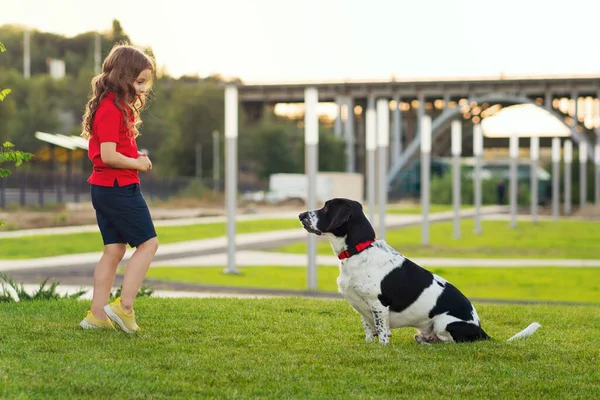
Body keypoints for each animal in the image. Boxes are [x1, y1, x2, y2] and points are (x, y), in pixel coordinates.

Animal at [298, 197, 540, 344]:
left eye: (327, 208)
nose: (300, 215)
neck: (359, 251)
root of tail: (480, 330)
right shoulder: (362, 309)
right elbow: (369, 332)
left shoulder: (378, 305)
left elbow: (383, 333)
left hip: (444, 322)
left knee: (451, 341)